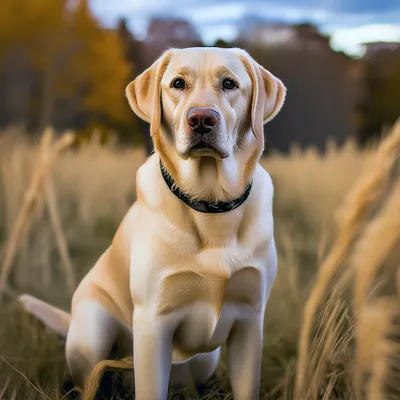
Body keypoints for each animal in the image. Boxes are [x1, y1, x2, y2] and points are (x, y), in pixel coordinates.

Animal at [20, 47, 286, 400]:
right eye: (178, 83)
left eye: (229, 83)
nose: (202, 119)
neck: (211, 204)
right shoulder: (153, 322)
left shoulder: (250, 321)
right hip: (91, 333)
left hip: (206, 360)